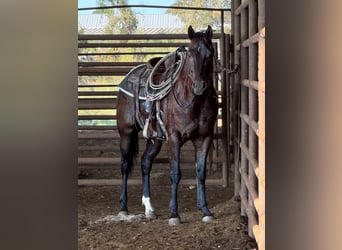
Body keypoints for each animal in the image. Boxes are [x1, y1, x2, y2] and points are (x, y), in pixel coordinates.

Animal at [116, 25, 218, 225]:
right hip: (126, 133)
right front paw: (174, 214)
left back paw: (149, 208)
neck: (193, 101)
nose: (199, 87)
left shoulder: (204, 138)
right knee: (125, 165)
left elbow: (201, 172)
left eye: (210, 53)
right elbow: (175, 173)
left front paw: (205, 210)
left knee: (145, 162)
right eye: (190, 53)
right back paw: (123, 208)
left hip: (155, 139)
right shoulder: (174, 138)